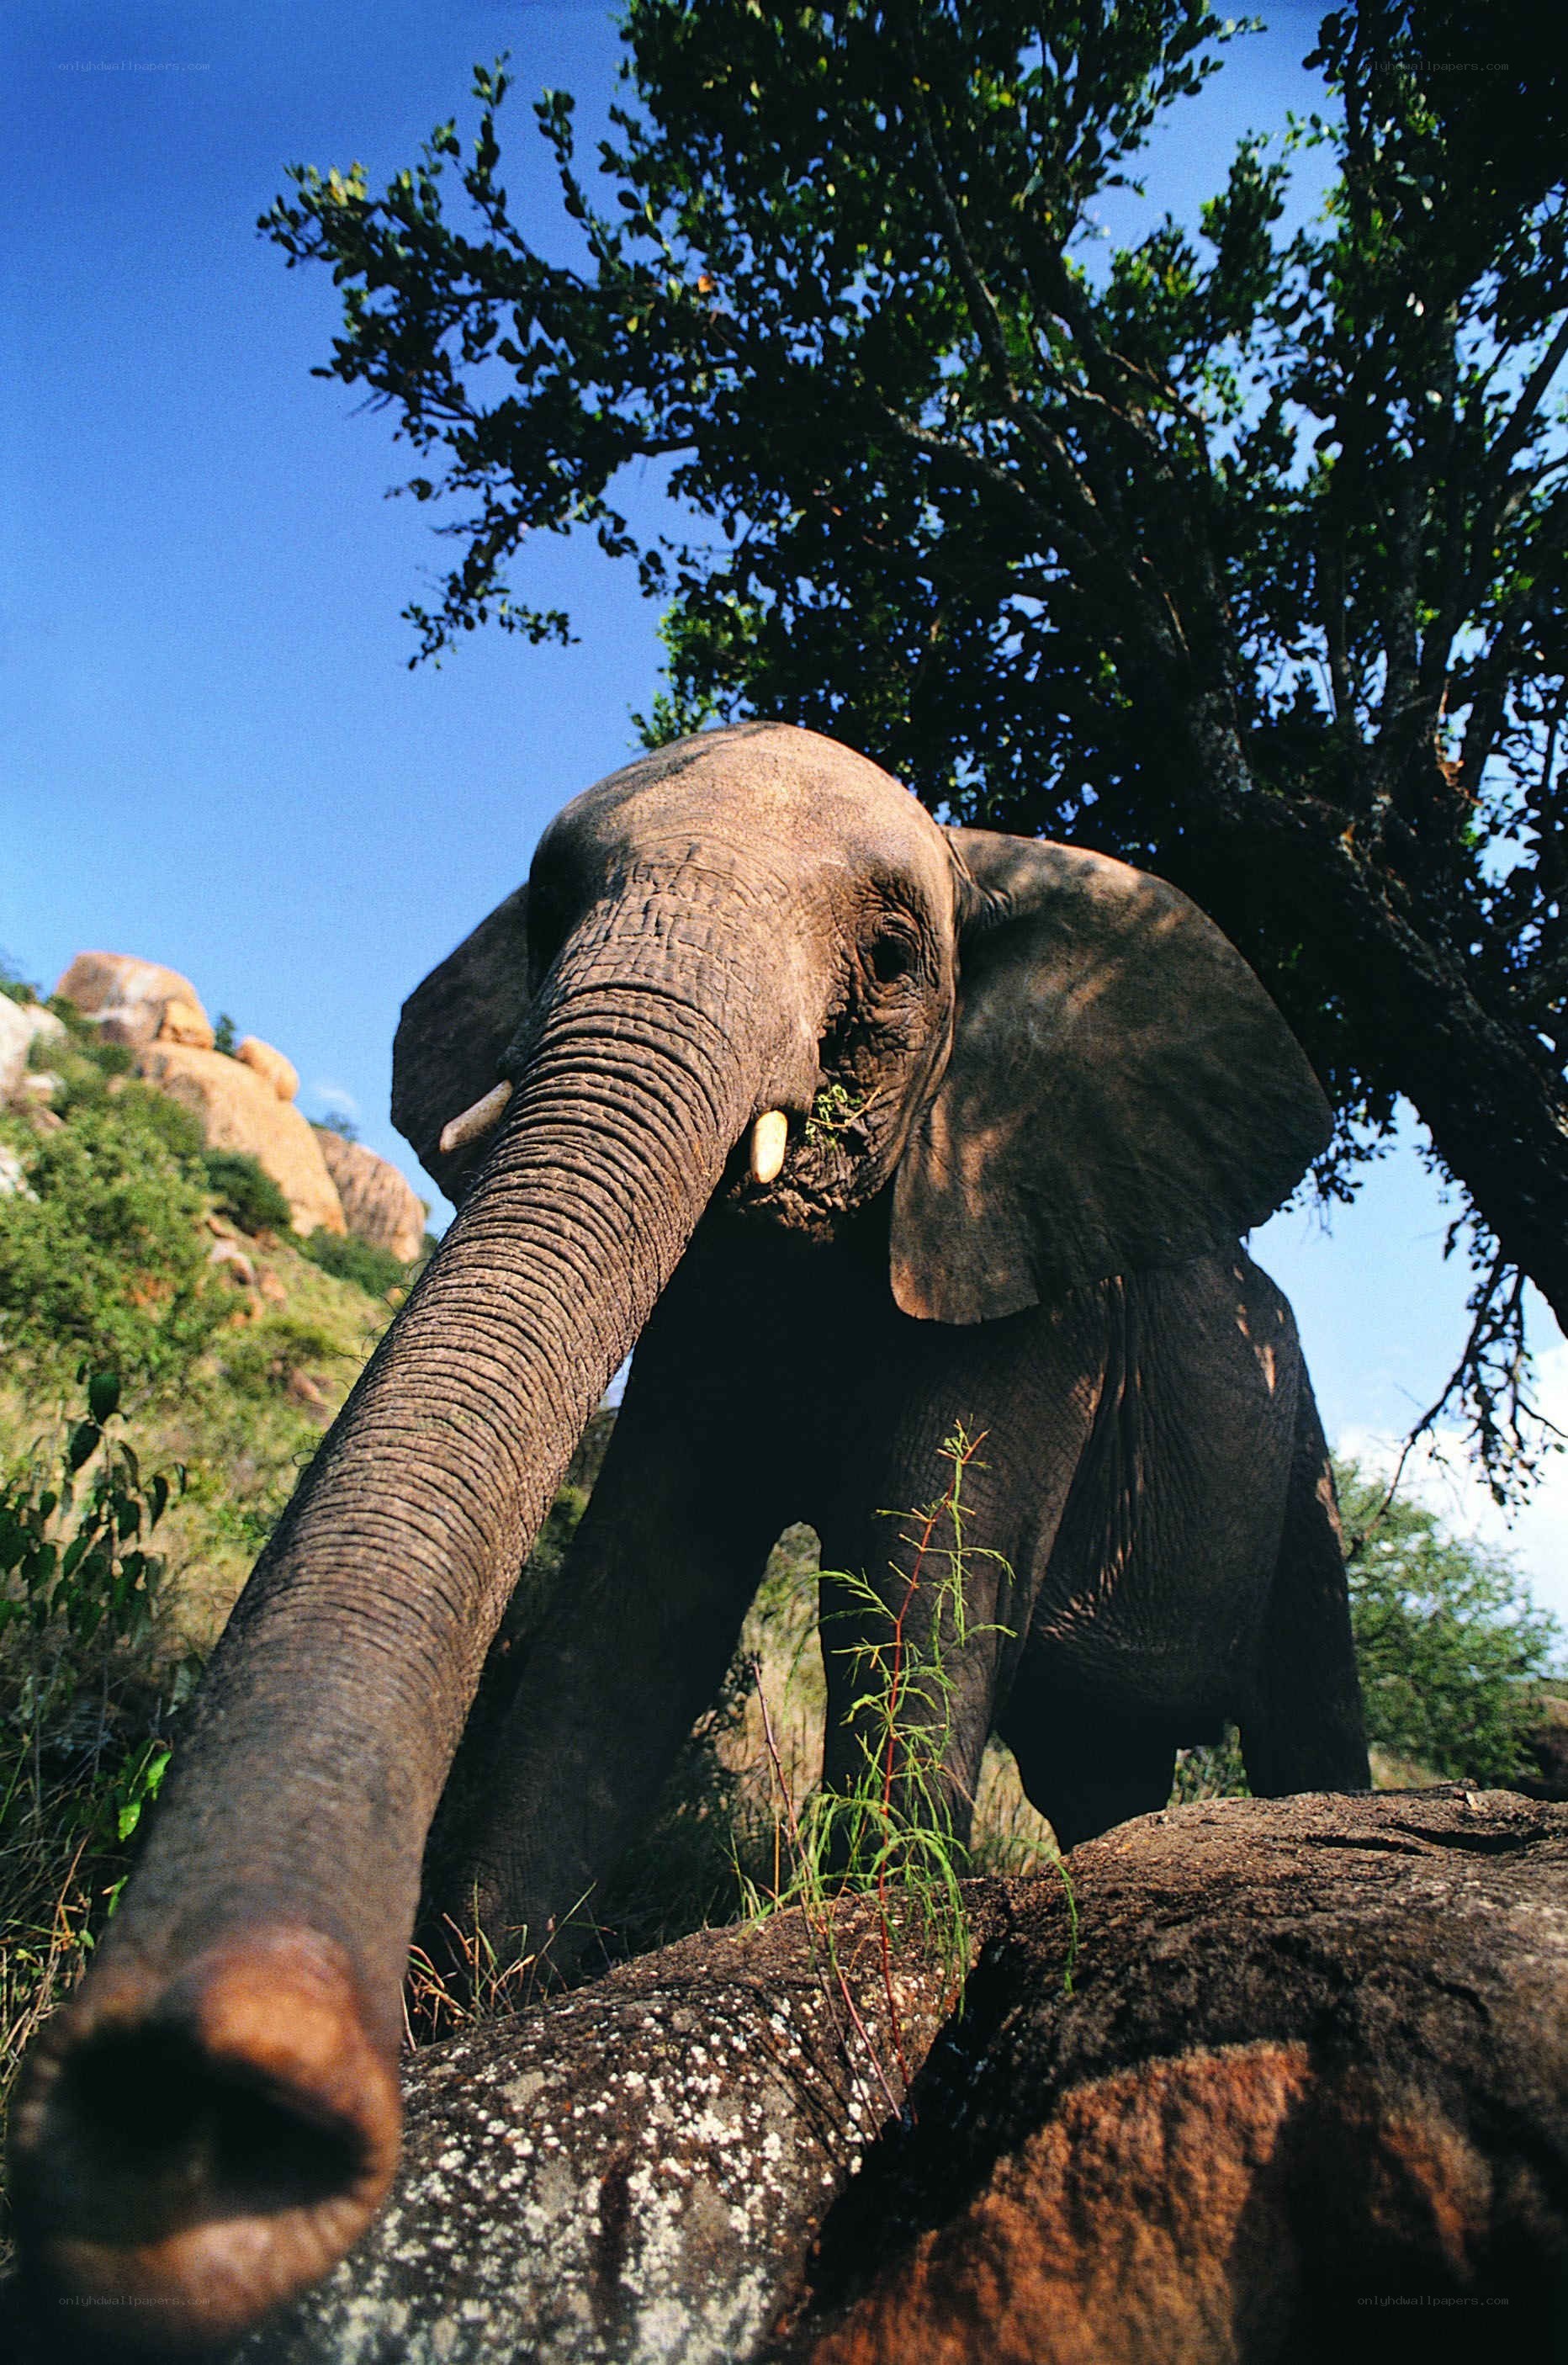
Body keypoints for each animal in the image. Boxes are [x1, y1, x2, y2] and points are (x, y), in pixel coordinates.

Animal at [10, 722, 1368, 2352]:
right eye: (546, 913)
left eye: (893, 955)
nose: (187, 2119)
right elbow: (633, 1615)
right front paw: (480, 2014)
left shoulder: (1019, 1285)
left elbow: (910, 1598)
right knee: (1096, 1774)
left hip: (1299, 1456)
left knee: (1304, 1702)